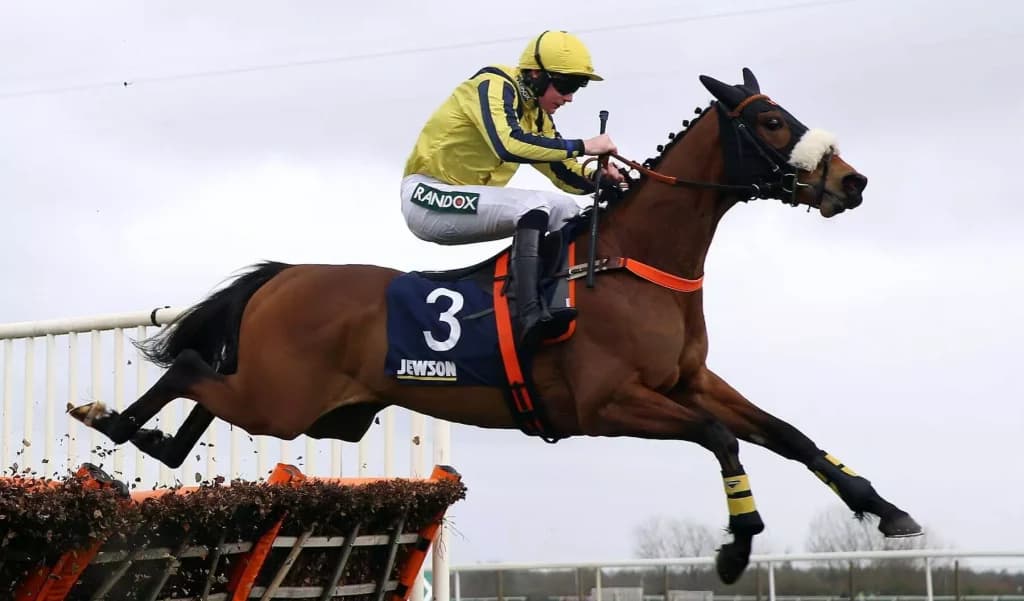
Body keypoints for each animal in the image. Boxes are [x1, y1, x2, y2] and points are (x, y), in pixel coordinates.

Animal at [68, 68, 922, 584]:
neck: (634, 263)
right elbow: (723, 439)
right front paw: (737, 545)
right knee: (187, 372)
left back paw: (147, 440)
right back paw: (108, 419)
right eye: (772, 120)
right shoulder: (608, 404)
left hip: (312, 409)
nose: (852, 180)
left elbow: (789, 434)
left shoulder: (690, 380)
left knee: (199, 401)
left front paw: (887, 509)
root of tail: (286, 273)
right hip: (281, 399)